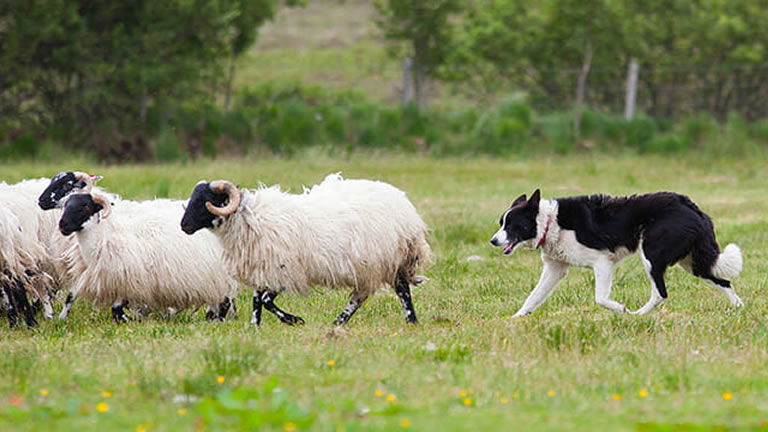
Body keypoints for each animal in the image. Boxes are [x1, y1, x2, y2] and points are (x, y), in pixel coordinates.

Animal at [58, 191, 239, 322]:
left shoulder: (129, 280)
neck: (105, 235)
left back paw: (216, 319)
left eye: (85, 206)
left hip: (219, 275)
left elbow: (117, 310)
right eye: (65, 205)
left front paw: (133, 320)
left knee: (224, 300)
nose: (62, 226)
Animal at [180, 173, 431, 327]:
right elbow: (256, 300)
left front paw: (294, 320)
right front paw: (254, 326)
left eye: (206, 201)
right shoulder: (264, 267)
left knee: (392, 291)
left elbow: (265, 300)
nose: (184, 226)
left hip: (381, 261)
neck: (251, 218)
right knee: (380, 292)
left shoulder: (285, 271)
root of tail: (404, 204)